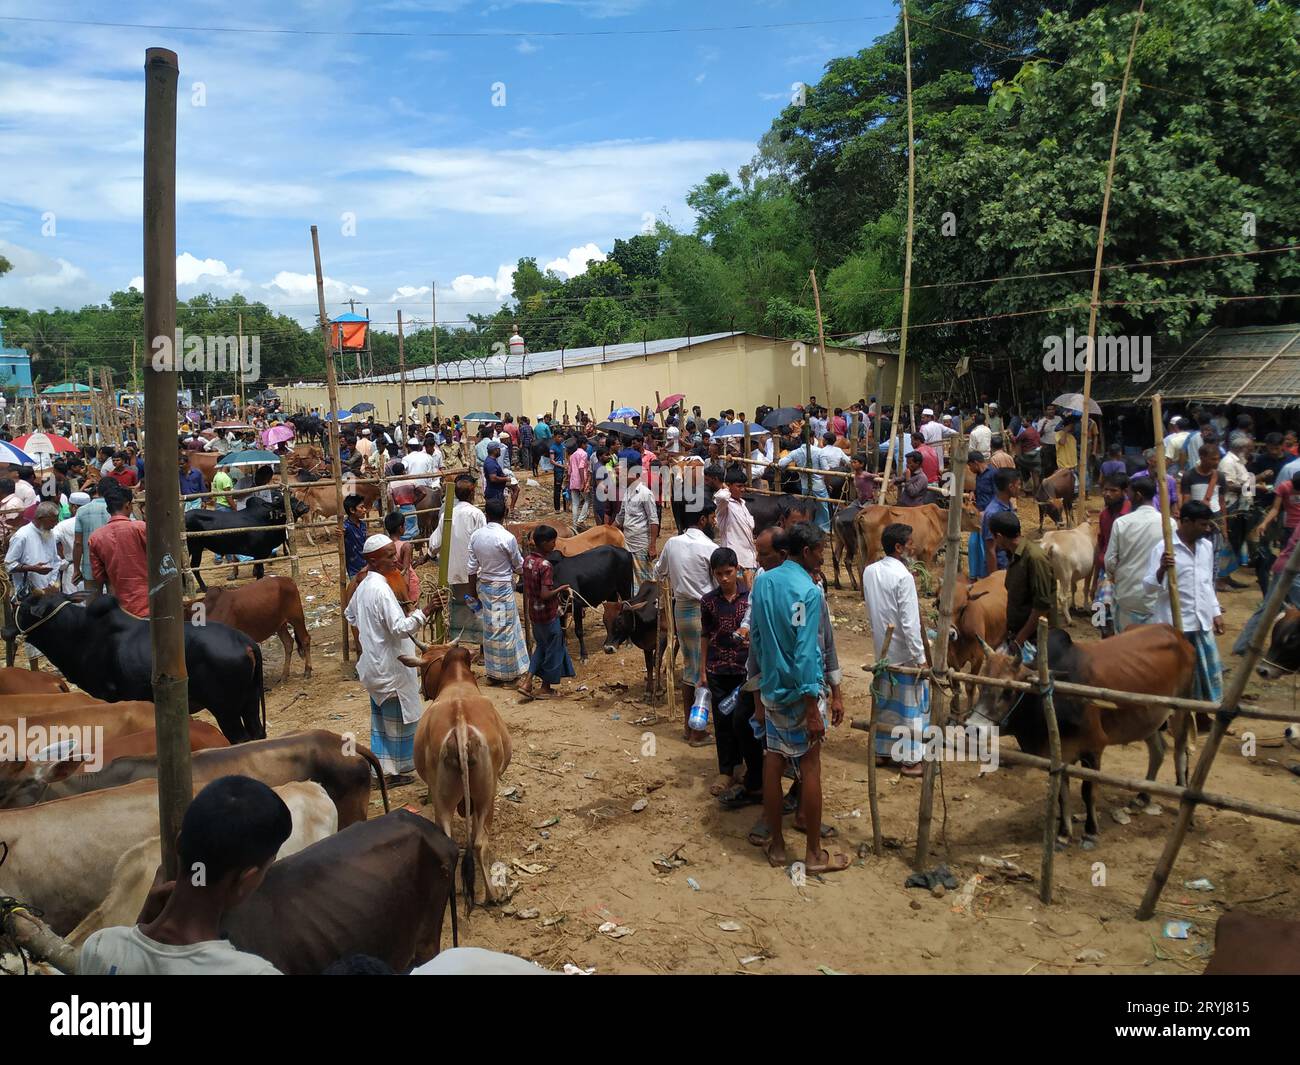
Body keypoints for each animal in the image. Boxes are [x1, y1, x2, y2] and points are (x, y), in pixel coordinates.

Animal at [17, 590, 267, 743]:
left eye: (25, 606)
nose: (7, 630)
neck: (79, 631)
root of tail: (245, 642)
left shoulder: (107, 696)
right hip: (250, 703)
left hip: (226, 710)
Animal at [403, 644, 509, 910]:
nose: (423, 691)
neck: (458, 681)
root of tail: (460, 725)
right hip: (486, 795)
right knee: (480, 843)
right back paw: (492, 895)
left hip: (444, 798)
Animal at [972, 624, 1190, 842]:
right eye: (981, 683)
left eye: (1008, 691)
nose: (973, 727)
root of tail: (1174, 632)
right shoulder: (1058, 755)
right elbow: (1062, 793)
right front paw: (1063, 832)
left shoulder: (1093, 749)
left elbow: (1088, 791)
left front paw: (1090, 831)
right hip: (1147, 718)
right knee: (1158, 751)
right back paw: (1143, 797)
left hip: (1181, 709)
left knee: (1180, 752)